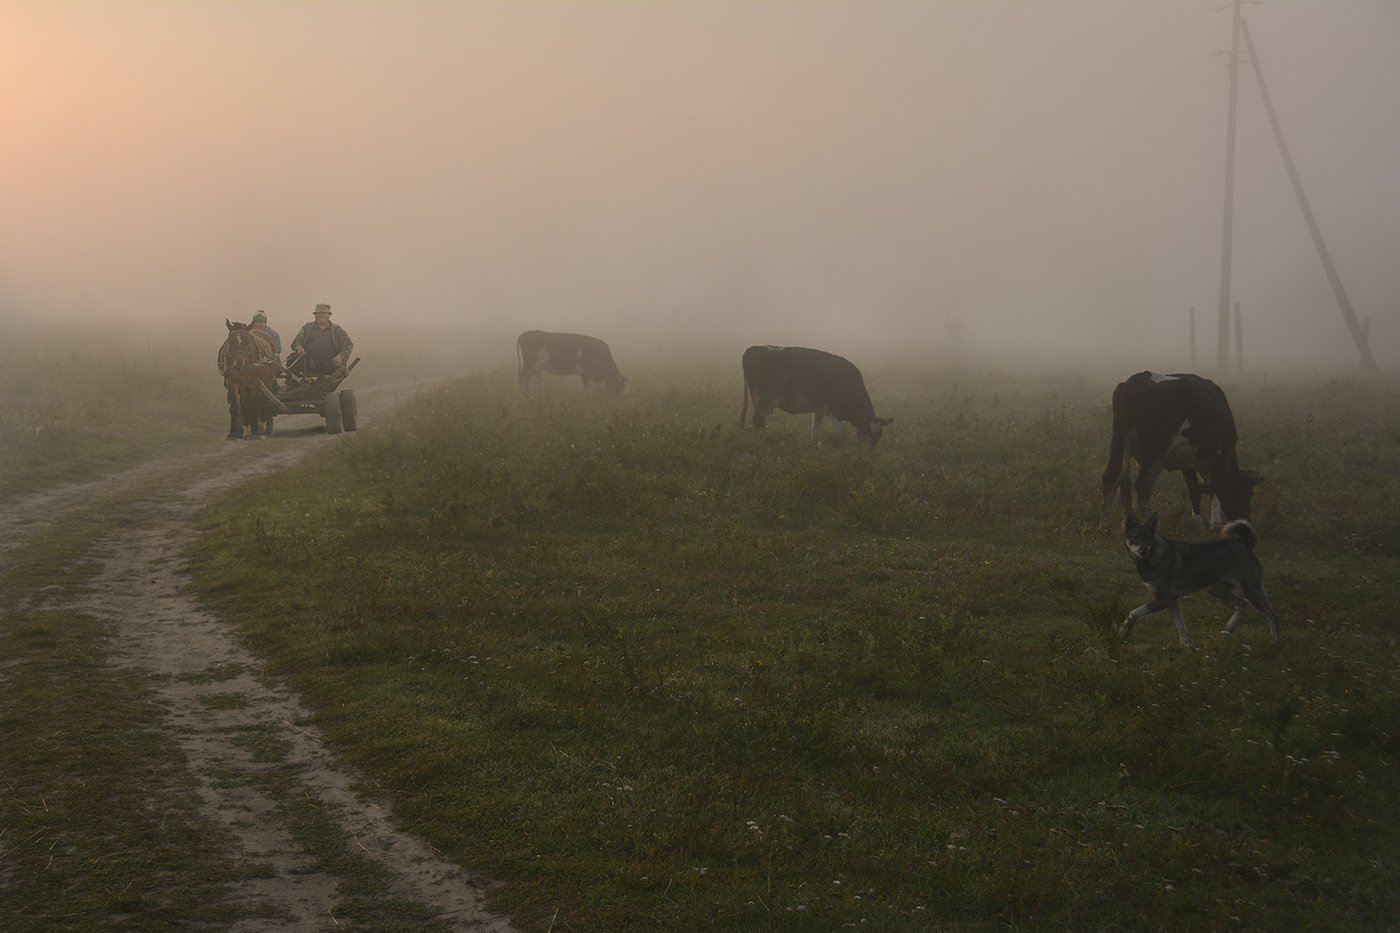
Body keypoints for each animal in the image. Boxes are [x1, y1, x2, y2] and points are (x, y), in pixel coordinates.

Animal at [739, 343, 890, 445]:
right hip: (763, 400)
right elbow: (839, 433)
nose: (870, 451)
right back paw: (760, 439)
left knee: (760, 421)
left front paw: (815, 445)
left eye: (879, 436)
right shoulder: (836, 411)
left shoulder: (819, 409)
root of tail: (753, 348)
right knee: (757, 420)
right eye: (868, 433)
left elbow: (815, 429)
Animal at [1097, 369, 1265, 529]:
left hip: (1118, 443)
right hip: (1155, 451)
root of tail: (1135, 381)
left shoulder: (1187, 462)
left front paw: (1198, 524)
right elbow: (1217, 488)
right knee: (1143, 485)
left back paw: (1105, 525)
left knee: (1110, 476)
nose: (1245, 522)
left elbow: (1194, 489)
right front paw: (1215, 524)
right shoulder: (1225, 451)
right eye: (1248, 493)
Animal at [1114, 509, 1282, 647]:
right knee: (1242, 604)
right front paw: (1186, 647)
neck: (1153, 556)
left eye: (1148, 538)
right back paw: (1227, 630)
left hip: (1251, 592)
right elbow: (1181, 627)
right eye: (1135, 537)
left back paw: (1274, 642)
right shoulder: (1172, 601)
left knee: (1273, 617)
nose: (1143, 551)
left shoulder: (1162, 600)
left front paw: (1124, 631)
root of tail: (1245, 543)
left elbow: (1133, 613)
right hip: (1216, 590)